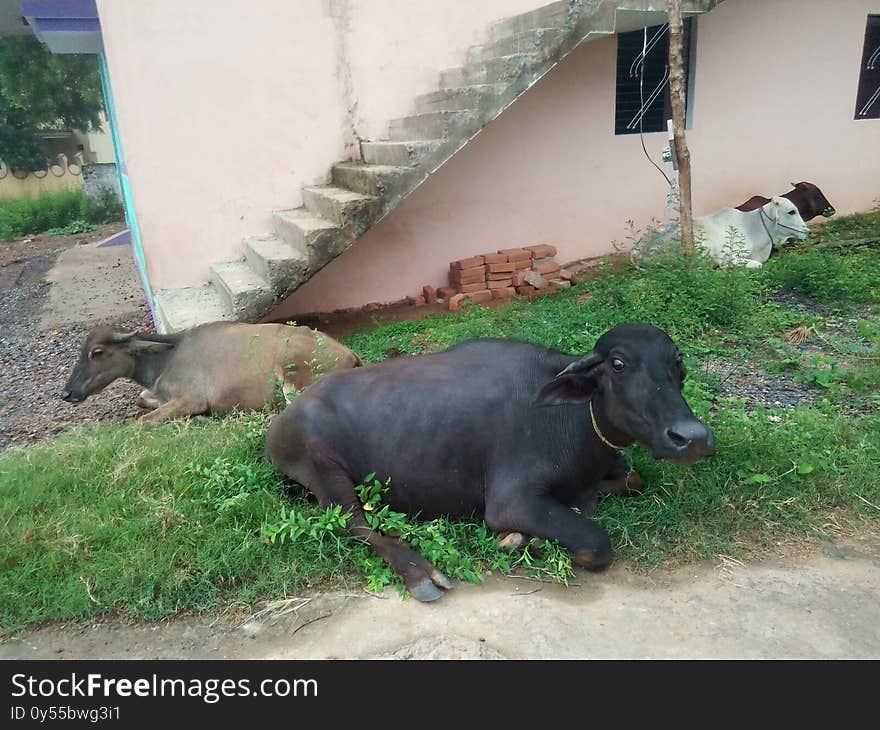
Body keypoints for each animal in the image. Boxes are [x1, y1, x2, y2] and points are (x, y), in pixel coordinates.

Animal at [61, 322, 360, 424]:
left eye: (97, 352)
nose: (67, 392)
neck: (164, 360)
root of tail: (348, 354)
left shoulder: (192, 398)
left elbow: (143, 423)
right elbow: (141, 400)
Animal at [266, 322, 716, 600]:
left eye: (678, 363)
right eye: (619, 364)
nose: (692, 439)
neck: (570, 420)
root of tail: (284, 418)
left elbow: (634, 479)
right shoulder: (511, 502)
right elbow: (596, 542)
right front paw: (521, 539)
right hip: (328, 474)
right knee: (357, 526)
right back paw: (420, 572)